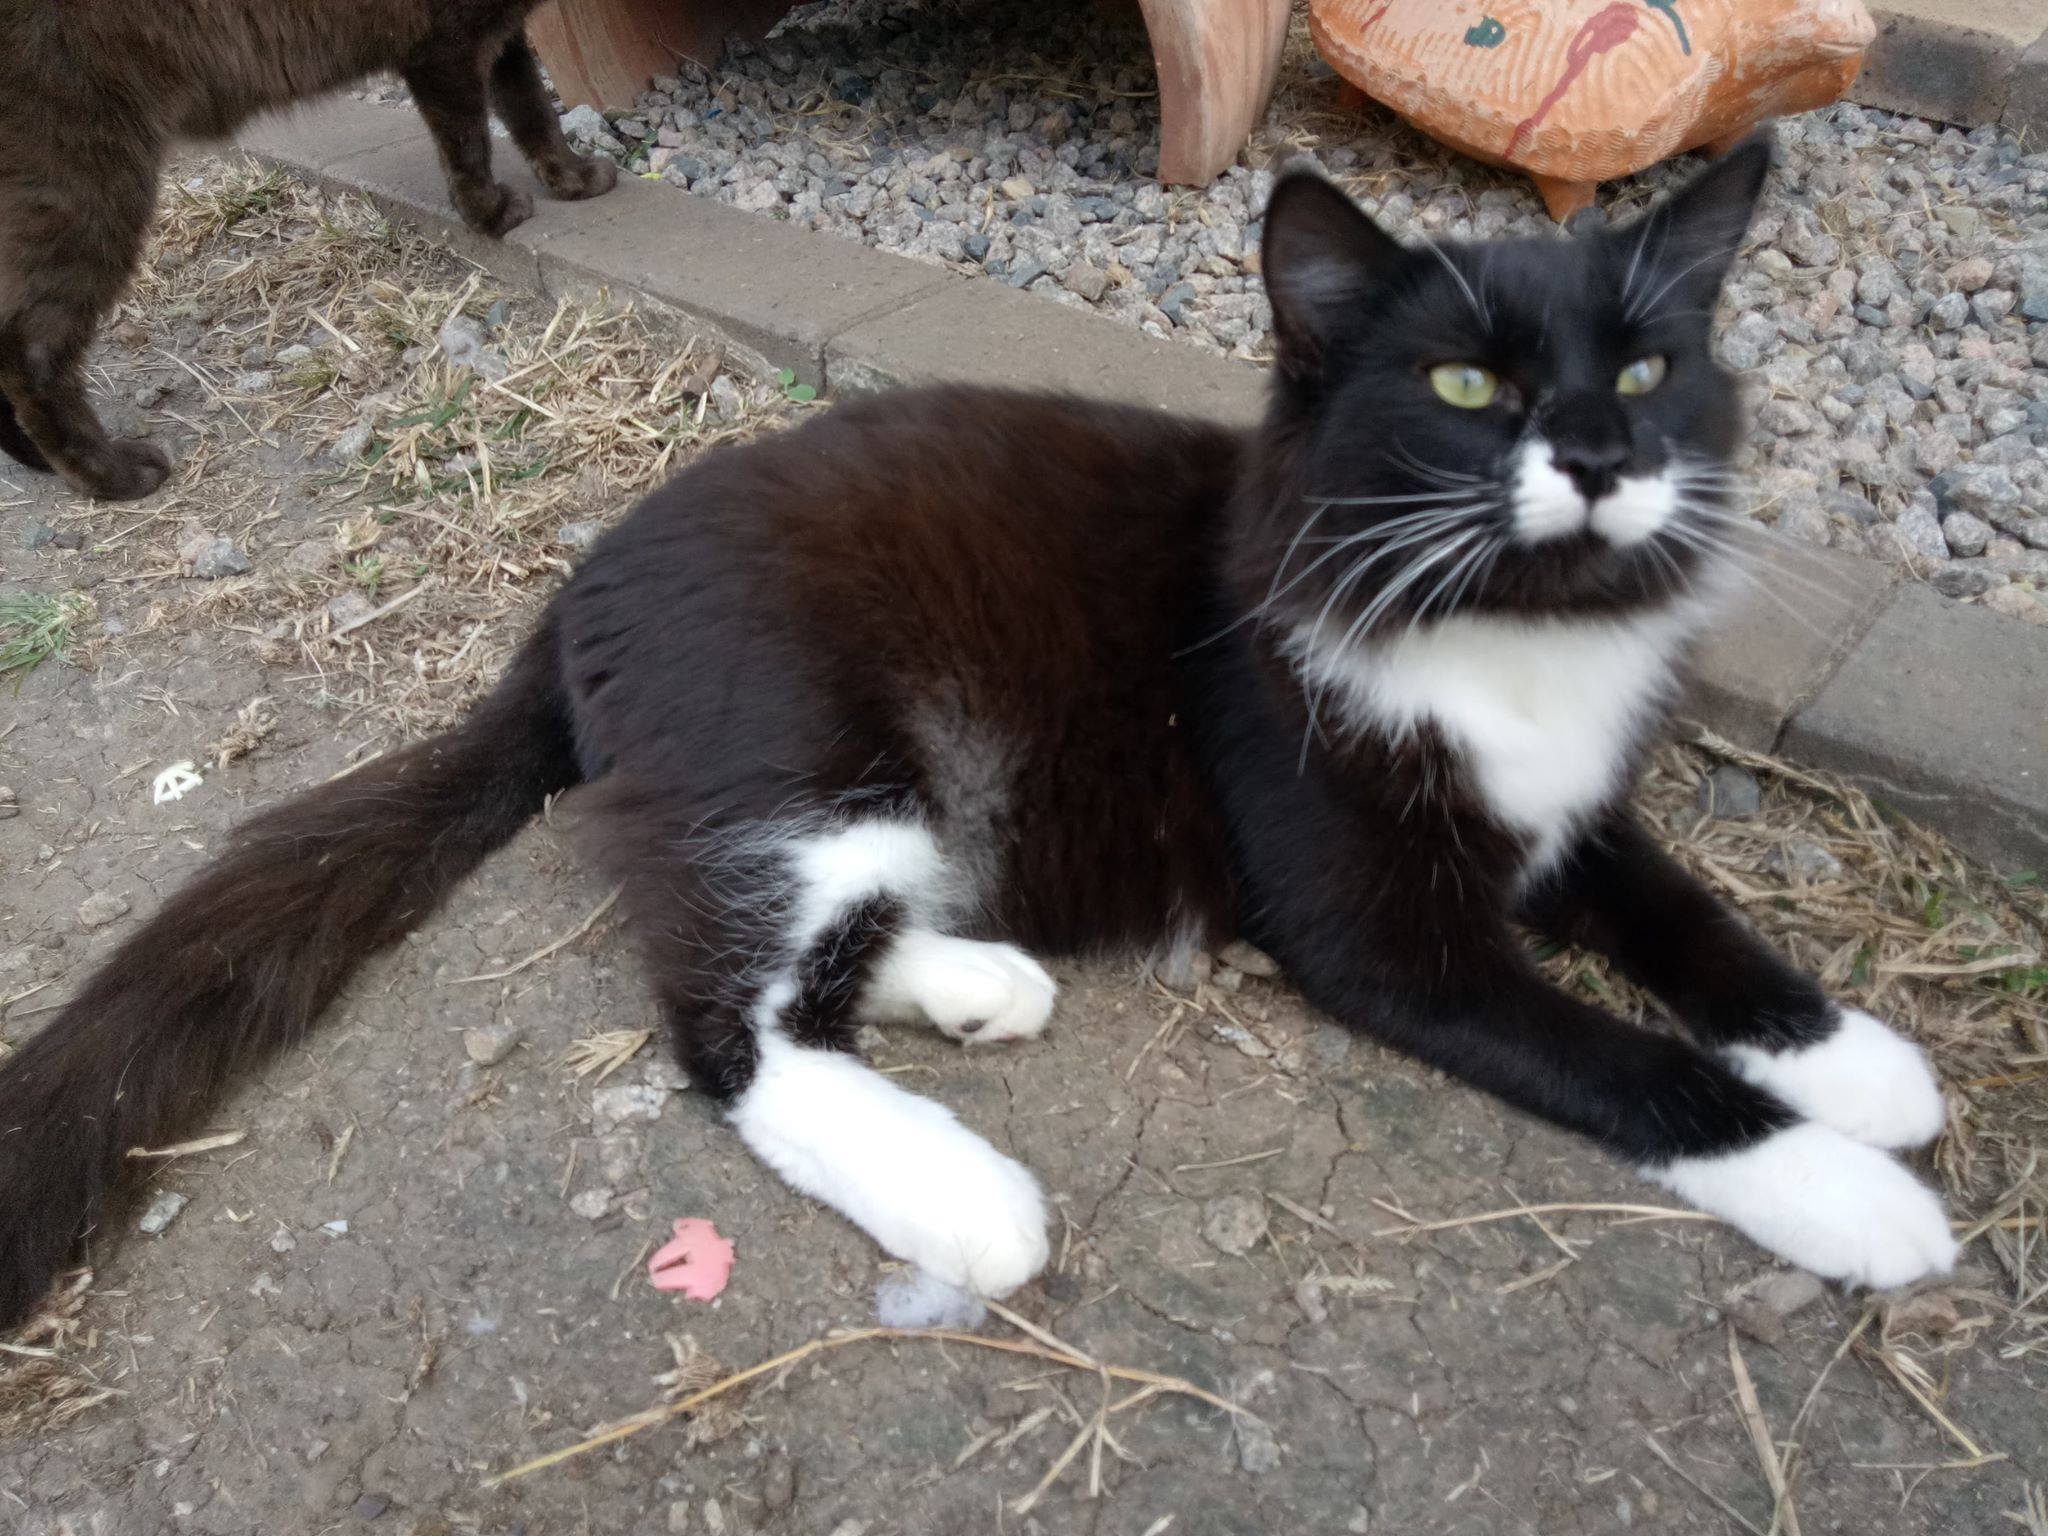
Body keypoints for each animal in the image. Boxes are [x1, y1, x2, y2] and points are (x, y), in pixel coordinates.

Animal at [0, 1, 616, 503]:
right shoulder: (446, 42)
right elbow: (471, 139)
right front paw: (490, 212)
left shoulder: (501, 33)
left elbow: (530, 106)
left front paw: (575, 178)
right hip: (89, 180)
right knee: (30, 353)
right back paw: (113, 476)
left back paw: (33, 458)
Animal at [0, 133, 1957, 1333]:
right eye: (1466, 385)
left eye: (1647, 369)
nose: (1607, 457)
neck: (1498, 629)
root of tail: (576, 592)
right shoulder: (1370, 915)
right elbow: (1624, 1057)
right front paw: (1853, 1194)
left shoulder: (1565, 801)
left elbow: (1677, 907)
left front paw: (1854, 1057)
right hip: (807, 735)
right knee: (731, 1029)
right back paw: (965, 1194)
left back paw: (971, 982)